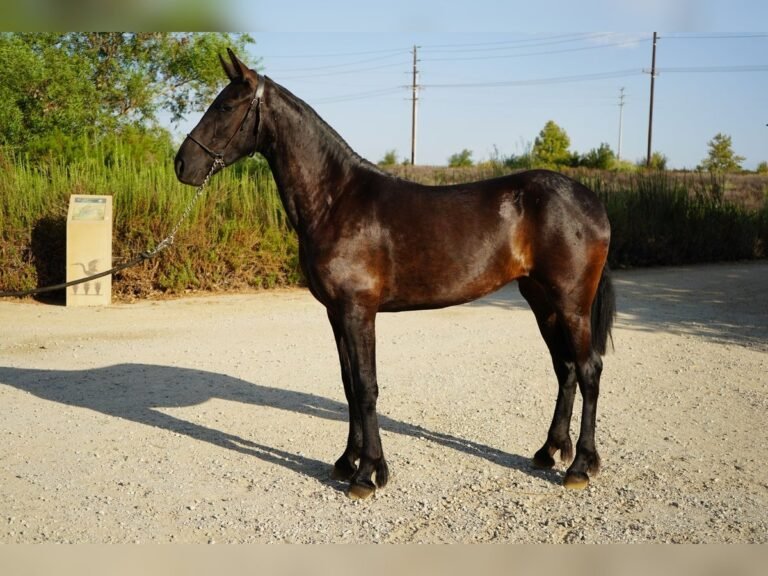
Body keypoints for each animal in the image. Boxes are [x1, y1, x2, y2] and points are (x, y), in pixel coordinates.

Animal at [175, 49, 616, 499]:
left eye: (226, 106)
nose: (181, 164)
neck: (336, 200)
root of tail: (590, 201)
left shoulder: (358, 310)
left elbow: (366, 386)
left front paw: (368, 473)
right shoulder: (336, 313)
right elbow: (349, 384)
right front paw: (346, 461)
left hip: (571, 303)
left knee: (588, 370)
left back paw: (580, 466)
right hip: (542, 301)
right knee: (565, 369)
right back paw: (548, 451)